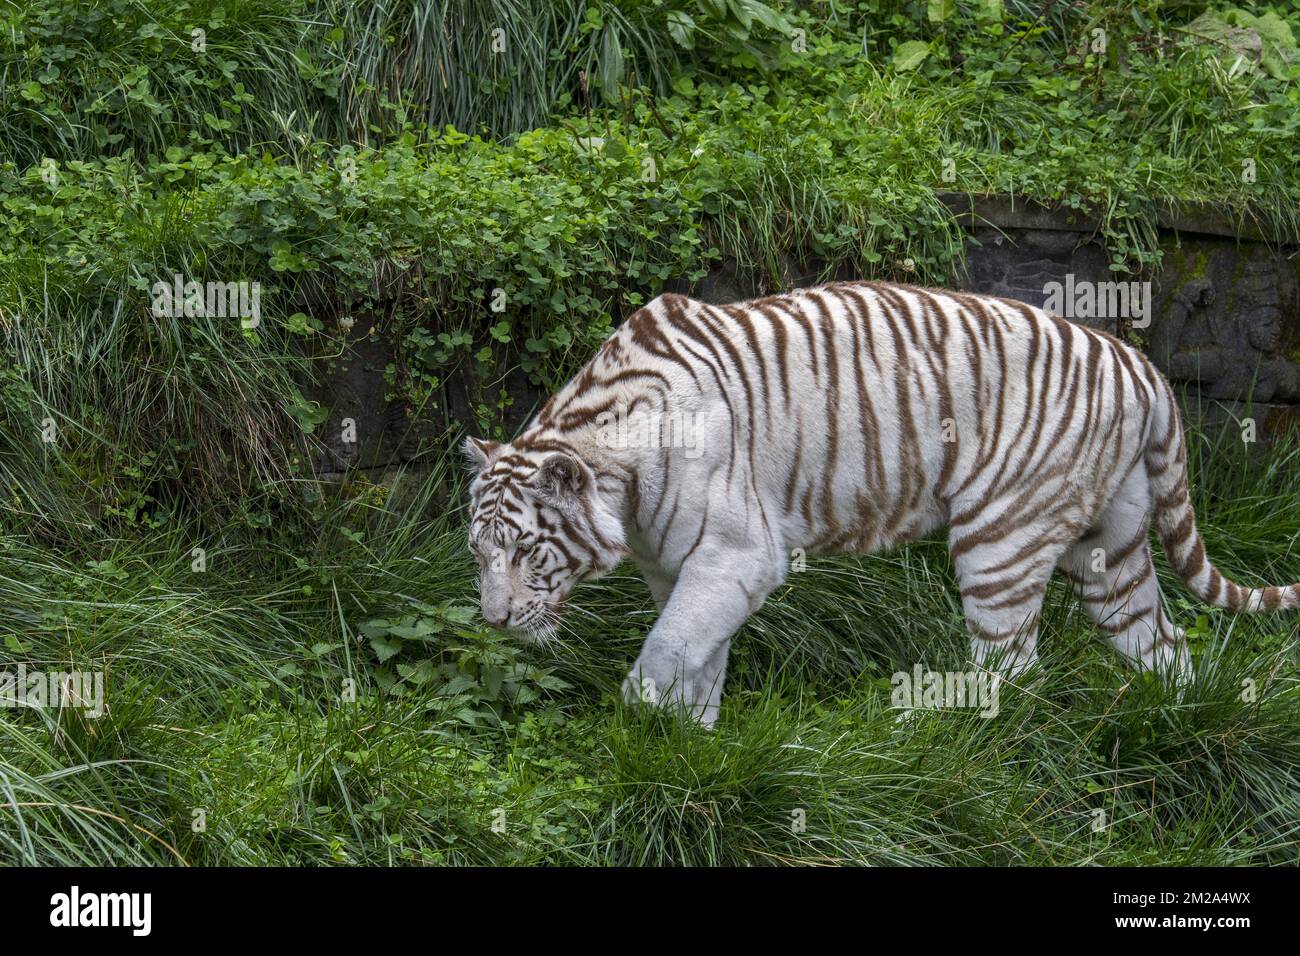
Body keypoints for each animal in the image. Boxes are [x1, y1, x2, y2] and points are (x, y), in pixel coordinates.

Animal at [465, 282, 1300, 726]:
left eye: (528, 550)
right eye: (479, 554)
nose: (494, 621)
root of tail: (1142, 364)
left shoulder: (736, 556)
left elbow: (666, 652)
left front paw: (640, 730)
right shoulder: (683, 571)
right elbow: (698, 659)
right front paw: (689, 745)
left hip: (1000, 540)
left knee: (1014, 669)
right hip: (1109, 548)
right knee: (1165, 645)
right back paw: (1181, 723)